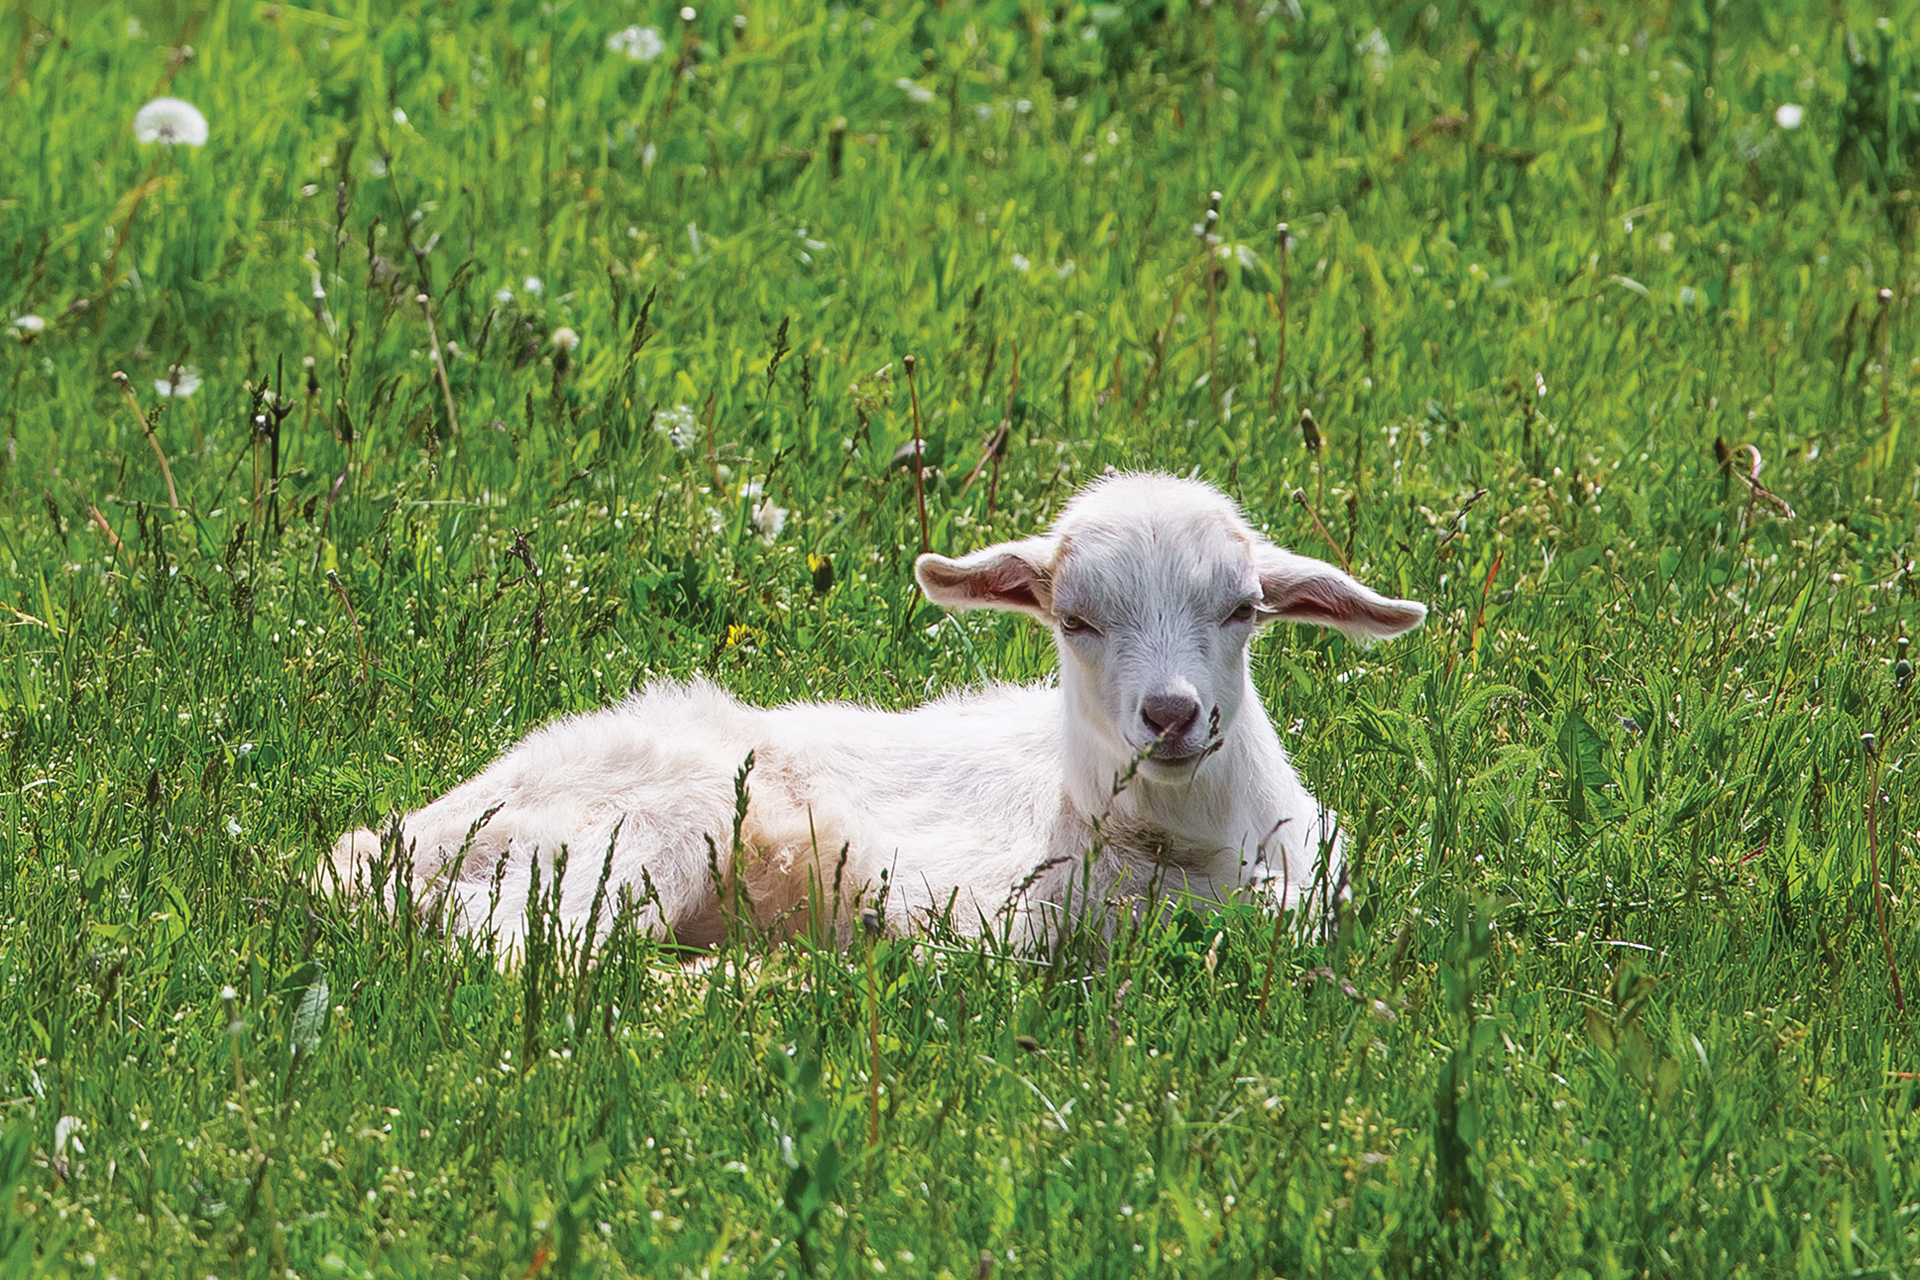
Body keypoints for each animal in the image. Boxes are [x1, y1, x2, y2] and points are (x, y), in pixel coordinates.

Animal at [328, 472, 1426, 948]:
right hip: (626, 836)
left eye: (1242, 608)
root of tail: (385, 844)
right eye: (1073, 619)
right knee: (526, 953)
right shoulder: (989, 905)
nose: (1169, 716)